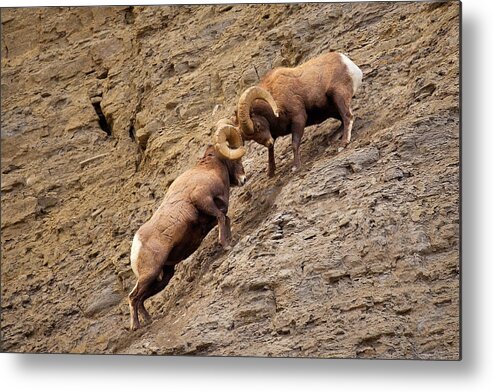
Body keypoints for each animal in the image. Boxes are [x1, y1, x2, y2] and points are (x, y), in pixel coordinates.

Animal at [129, 123, 246, 330]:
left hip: (162, 276)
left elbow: (226, 219)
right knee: (133, 297)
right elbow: (222, 218)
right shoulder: (203, 200)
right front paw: (226, 245)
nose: (243, 178)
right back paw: (135, 326)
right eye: (235, 156)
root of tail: (136, 244)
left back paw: (149, 320)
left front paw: (229, 242)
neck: (210, 170)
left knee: (141, 298)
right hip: (150, 273)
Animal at [225, 51, 360, 176]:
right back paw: (335, 136)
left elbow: (294, 143)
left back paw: (343, 144)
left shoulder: (298, 120)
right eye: (250, 138)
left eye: (257, 125)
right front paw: (271, 172)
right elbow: (270, 152)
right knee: (342, 120)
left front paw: (296, 167)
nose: (269, 141)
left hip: (338, 96)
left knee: (347, 117)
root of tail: (348, 63)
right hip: (332, 109)